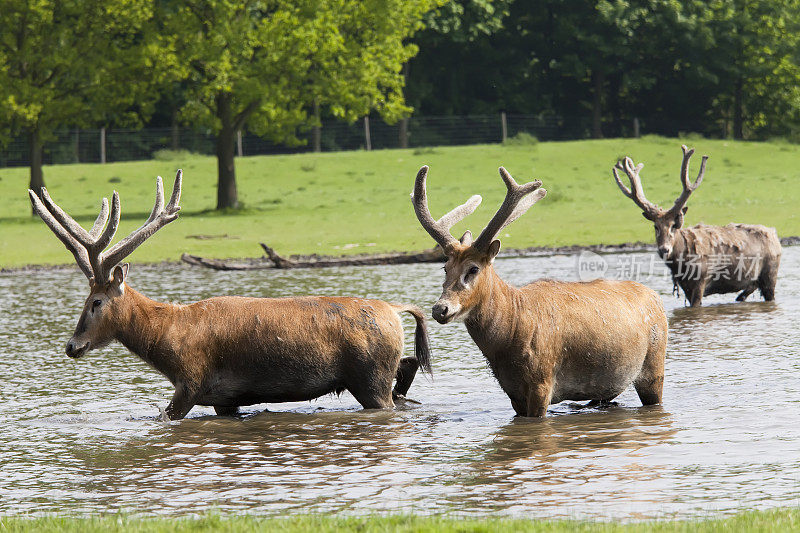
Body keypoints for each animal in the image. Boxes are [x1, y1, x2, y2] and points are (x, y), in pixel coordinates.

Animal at [28, 172, 432, 418]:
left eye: (95, 302)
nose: (72, 346)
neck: (167, 340)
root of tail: (395, 309)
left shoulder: (192, 381)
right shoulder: (225, 399)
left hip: (370, 376)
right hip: (377, 371)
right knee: (410, 364)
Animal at [412, 166, 668, 416]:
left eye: (473, 268)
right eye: (445, 268)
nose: (440, 309)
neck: (507, 342)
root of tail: (656, 297)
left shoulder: (542, 381)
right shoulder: (512, 391)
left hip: (654, 366)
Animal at [616, 144, 780, 308]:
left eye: (673, 226)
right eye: (655, 226)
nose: (664, 249)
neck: (681, 266)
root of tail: (775, 235)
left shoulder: (701, 280)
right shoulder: (685, 287)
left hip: (770, 273)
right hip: (755, 280)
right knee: (747, 291)